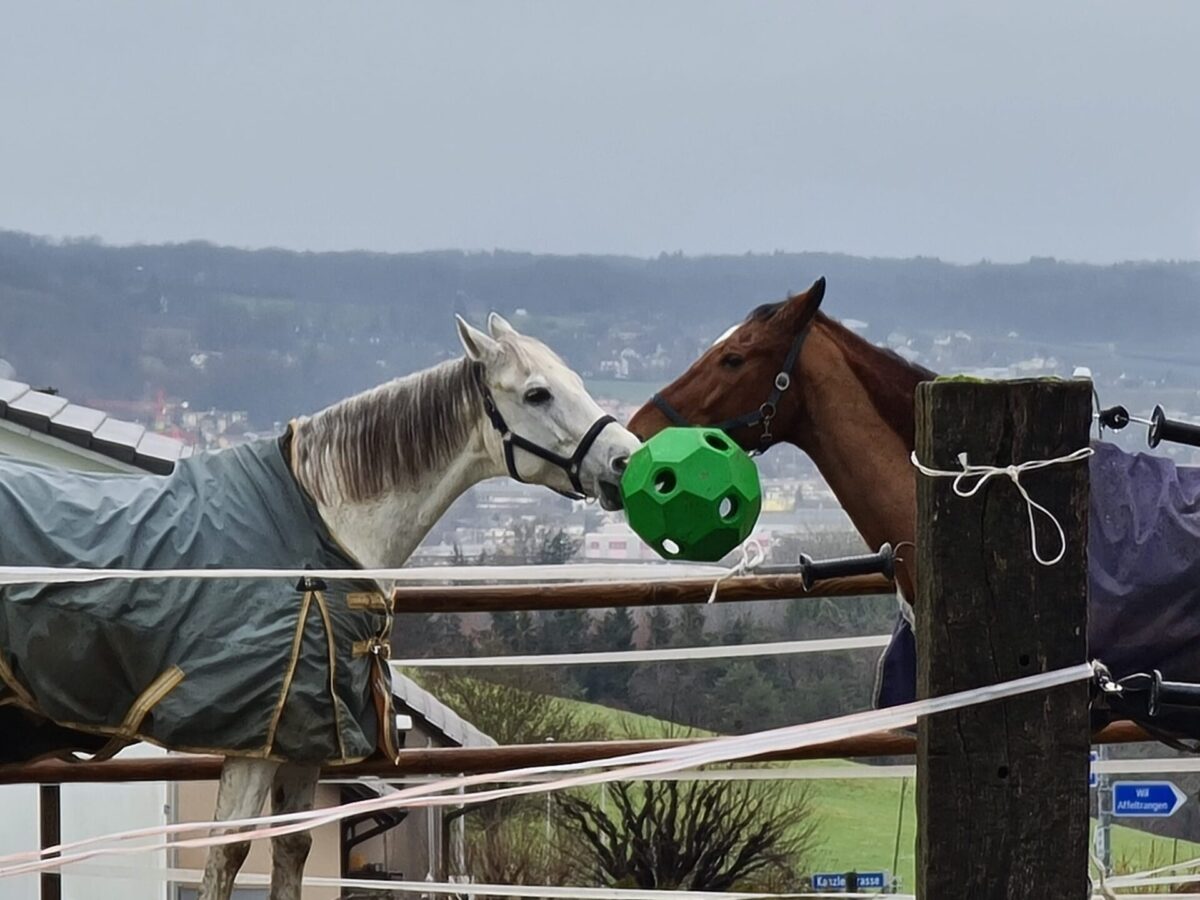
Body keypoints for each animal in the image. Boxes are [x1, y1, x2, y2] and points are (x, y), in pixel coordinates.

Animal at [0, 312, 640, 900]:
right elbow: (228, 853)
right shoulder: (252, 737)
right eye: (537, 393)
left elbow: (294, 847)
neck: (317, 530)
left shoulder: (305, 740)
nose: (624, 461)